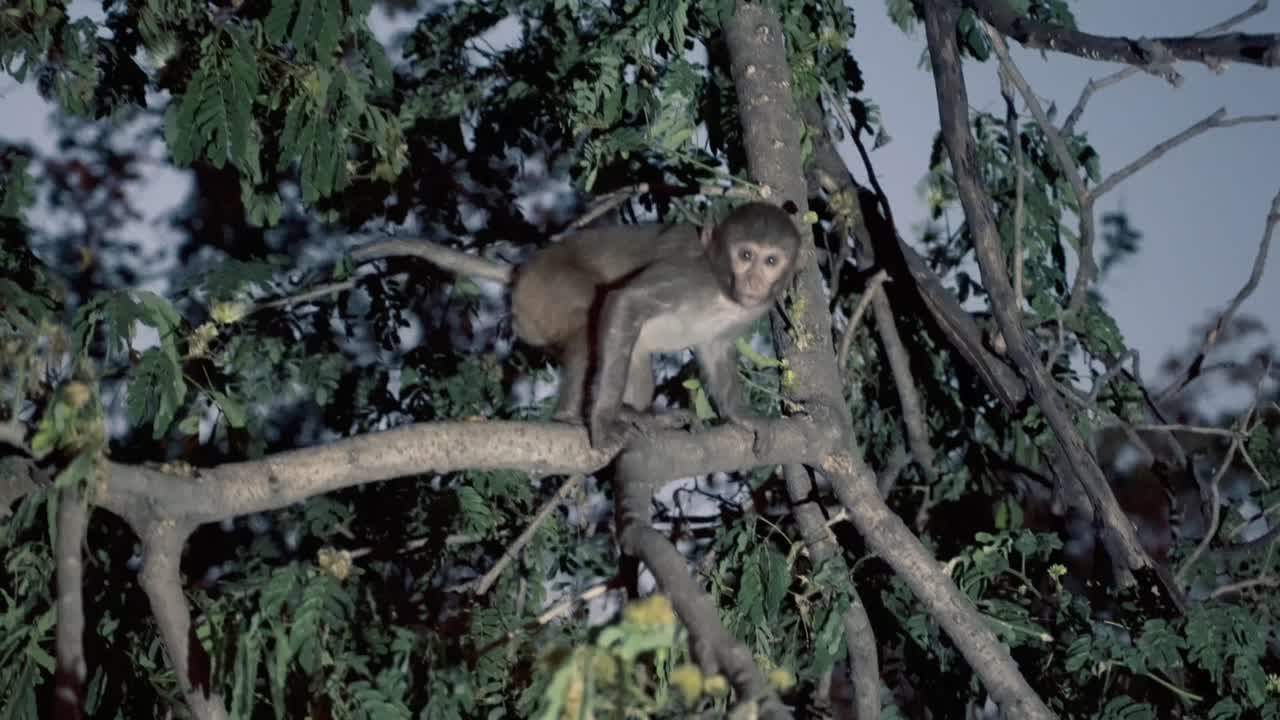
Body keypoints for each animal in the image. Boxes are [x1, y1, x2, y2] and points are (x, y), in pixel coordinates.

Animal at [511, 201, 801, 448]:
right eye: (745, 255)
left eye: (771, 261)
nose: (754, 281)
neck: (724, 291)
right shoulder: (693, 275)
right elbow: (625, 301)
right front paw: (602, 419)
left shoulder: (753, 309)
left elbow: (715, 349)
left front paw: (741, 416)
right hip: (546, 286)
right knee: (589, 324)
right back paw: (572, 416)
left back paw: (641, 416)